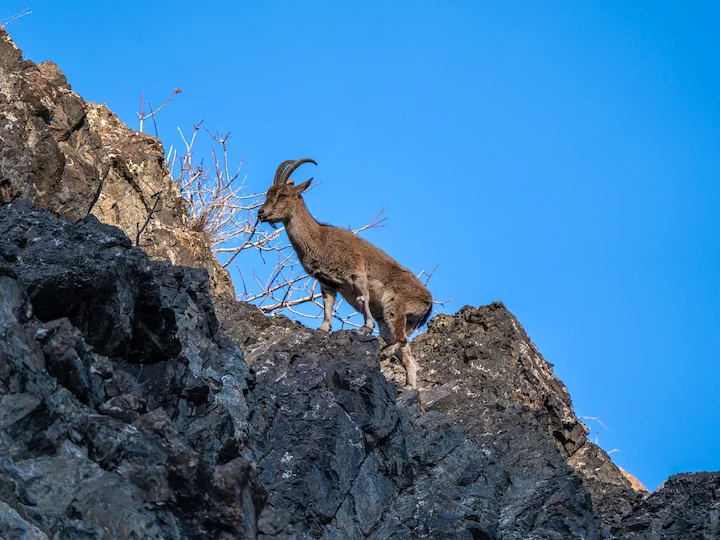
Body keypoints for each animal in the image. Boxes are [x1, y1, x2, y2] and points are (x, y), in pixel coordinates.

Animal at [257, 158, 433, 388]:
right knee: (408, 356)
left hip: (394, 304)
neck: (319, 238)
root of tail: (428, 302)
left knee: (400, 340)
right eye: (268, 192)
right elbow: (327, 305)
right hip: (398, 322)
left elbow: (362, 298)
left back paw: (384, 352)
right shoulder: (327, 282)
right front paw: (323, 329)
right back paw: (409, 387)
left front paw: (365, 327)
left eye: (282, 195)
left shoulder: (356, 272)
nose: (261, 213)